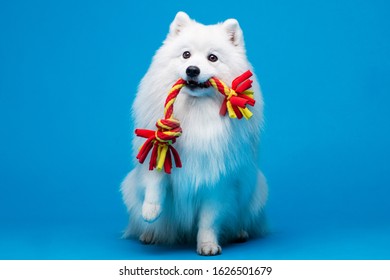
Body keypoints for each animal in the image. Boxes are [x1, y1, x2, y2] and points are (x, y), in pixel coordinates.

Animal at [121, 11, 268, 256]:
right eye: (186, 55)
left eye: (212, 58)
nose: (192, 70)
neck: (196, 110)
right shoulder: (157, 154)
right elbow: (155, 180)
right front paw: (150, 210)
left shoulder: (217, 181)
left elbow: (209, 219)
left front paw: (207, 245)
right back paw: (150, 234)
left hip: (256, 192)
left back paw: (239, 233)